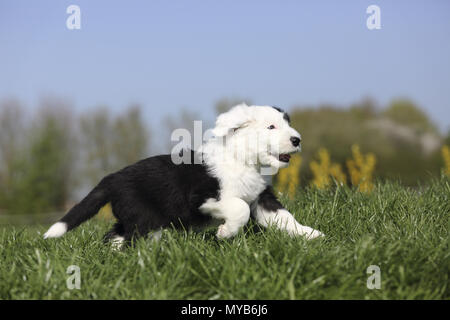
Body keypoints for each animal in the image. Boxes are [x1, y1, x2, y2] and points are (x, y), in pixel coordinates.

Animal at [44, 104, 324, 246]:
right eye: (271, 127)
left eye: (287, 124)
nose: (296, 140)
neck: (243, 159)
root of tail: (113, 177)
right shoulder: (203, 197)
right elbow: (239, 209)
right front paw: (225, 233)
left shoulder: (262, 199)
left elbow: (284, 218)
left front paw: (311, 235)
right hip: (145, 219)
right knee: (131, 240)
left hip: (134, 217)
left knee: (113, 236)